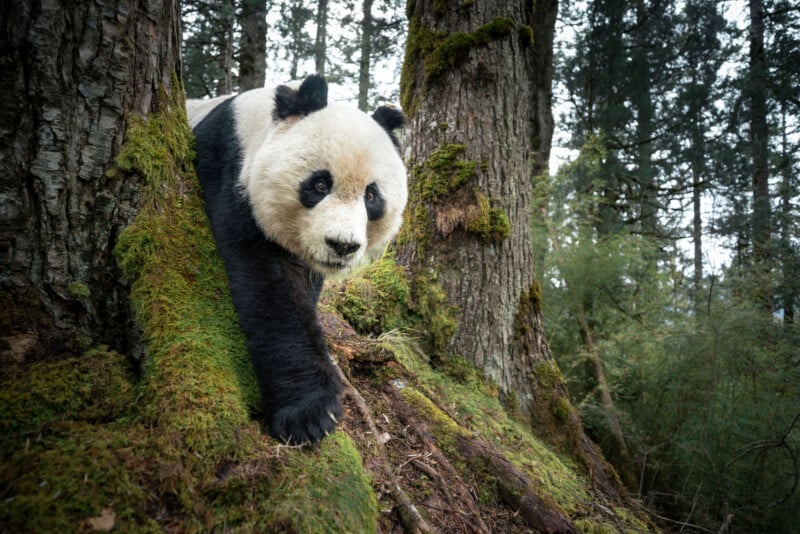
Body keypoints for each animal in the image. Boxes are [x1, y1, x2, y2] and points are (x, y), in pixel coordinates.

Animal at [189, 75, 407, 444]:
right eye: (319, 184)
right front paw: (310, 415)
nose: (342, 245)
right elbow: (272, 291)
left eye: (371, 195)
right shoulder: (230, 175)